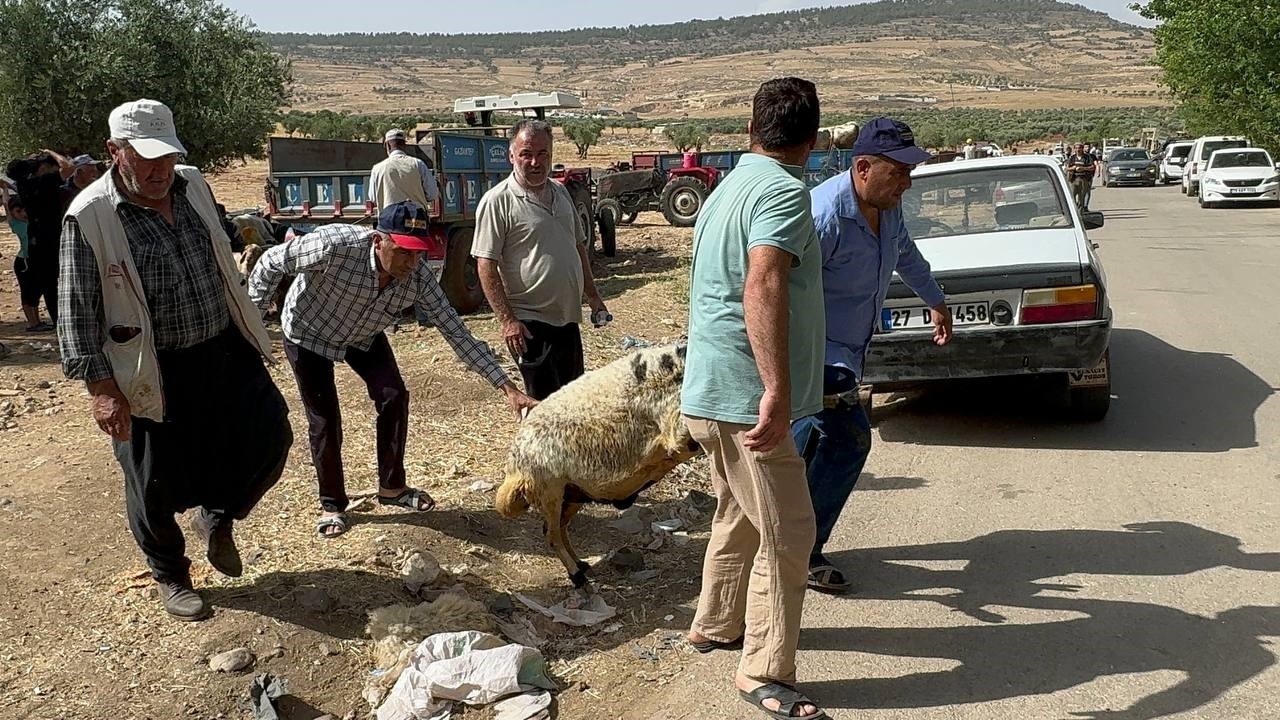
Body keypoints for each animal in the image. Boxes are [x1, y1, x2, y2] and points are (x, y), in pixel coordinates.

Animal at [496, 340, 701, 584]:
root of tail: (515, 466)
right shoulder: (675, 429)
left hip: (572, 494)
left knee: (560, 528)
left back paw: (582, 566)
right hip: (550, 492)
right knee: (552, 534)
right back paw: (577, 577)